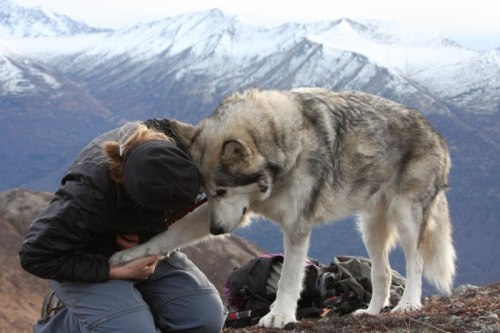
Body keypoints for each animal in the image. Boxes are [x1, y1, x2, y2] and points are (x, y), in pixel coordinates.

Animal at [110, 87, 458, 328]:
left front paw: (278, 316)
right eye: (205, 193)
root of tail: (437, 133)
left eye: (221, 190)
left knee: (415, 263)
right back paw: (370, 312)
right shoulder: (229, 213)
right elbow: (167, 236)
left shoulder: (297, 228)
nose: (216, 230)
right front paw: (127, 257)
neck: (283, 145)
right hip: (370, 229)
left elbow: (289, 278)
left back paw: (408, 305)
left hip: (406, 218)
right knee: (382, 273)